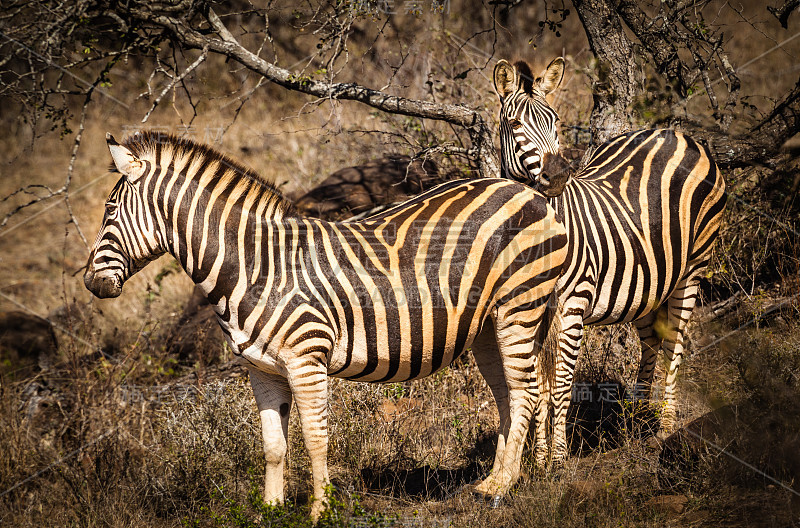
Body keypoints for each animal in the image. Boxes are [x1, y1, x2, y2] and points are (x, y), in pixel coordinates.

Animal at [83, 131, 568, 516]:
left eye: (110, 212)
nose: (91, 283)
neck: (257, 266)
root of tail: (526, 191)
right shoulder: (260, 369)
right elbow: (273, 445)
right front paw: (269, 511)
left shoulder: (306, 360)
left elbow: (315, 439)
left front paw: (320, 510)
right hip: (487, 325)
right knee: (511, 395)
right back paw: (495, 481)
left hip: (520, 306)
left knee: (526, 392)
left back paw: (502, 488)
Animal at [490, 56, 728, 466]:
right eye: (516, 124)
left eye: (554, 120)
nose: (558, 176)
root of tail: (676, 134)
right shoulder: (532, 309)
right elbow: (539, 387)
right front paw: (536, 463)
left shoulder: (572, 304)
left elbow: (561, 387)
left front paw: (557, 463)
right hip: (647, 279)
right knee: (651, 341)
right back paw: (638, 421)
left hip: (694, 267)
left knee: (674, 345)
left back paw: (665, 428)